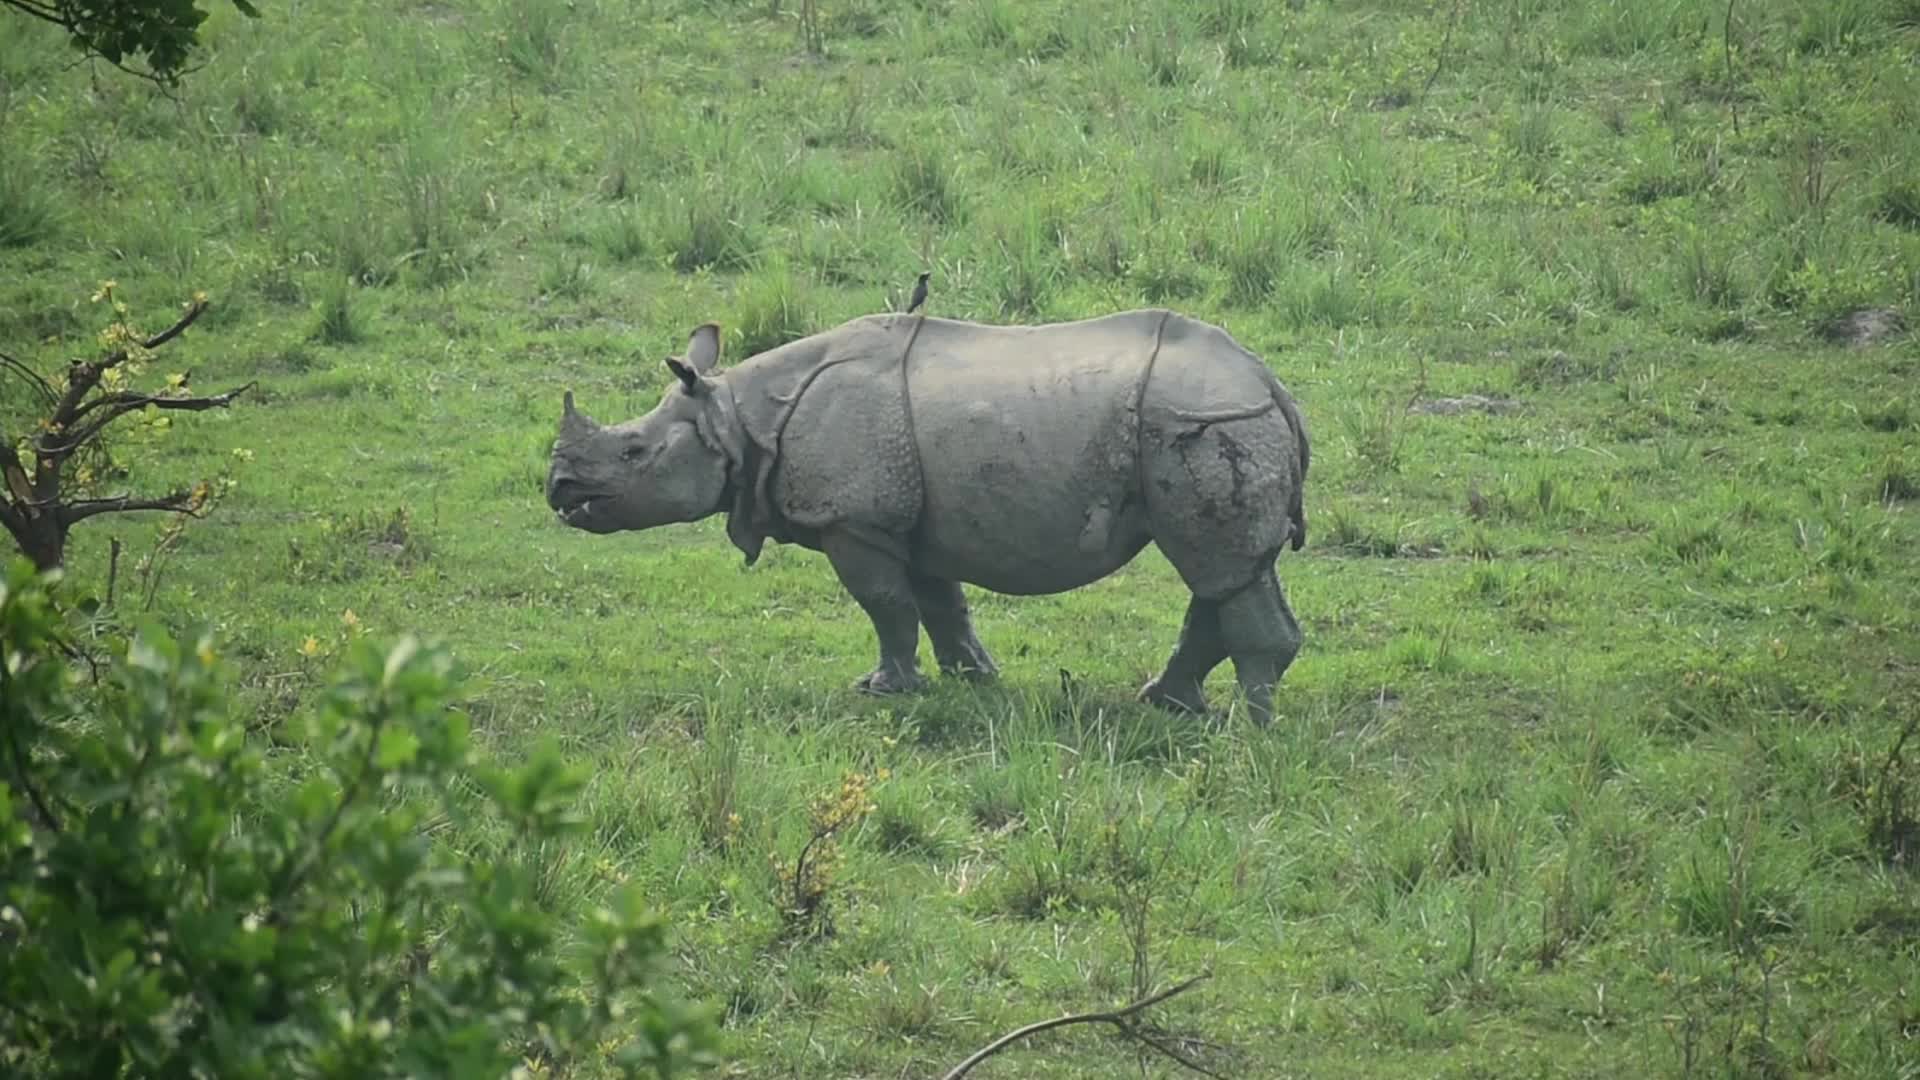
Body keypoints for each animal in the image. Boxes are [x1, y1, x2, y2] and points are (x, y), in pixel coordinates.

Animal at [544, 308, 1311, 723]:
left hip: (1210, 424)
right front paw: (974, 679)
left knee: (1218, 567)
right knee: (1225, 572)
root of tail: (1271, 382)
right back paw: (1165, 703)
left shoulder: (855, 520)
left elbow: (885, 606)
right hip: (1213, 425)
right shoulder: (907, 522)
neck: (734, 418)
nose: (557, 487)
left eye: (634, 452)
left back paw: (1250, 728)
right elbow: (941, 604)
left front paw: (883, 691)